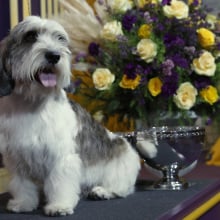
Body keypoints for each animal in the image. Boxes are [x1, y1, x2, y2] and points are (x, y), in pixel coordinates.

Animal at [0, 16, 156, 216]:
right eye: (31, 36)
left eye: (59, 38)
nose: (54, 56)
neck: (33, 104)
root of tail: (129, 147)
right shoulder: (17, 158)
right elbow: (22, 185)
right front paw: (23, 203)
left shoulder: (61, 158)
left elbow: (60, 183)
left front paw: (59, 206)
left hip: (119, 171)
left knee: (124, 189)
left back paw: (102, 191)